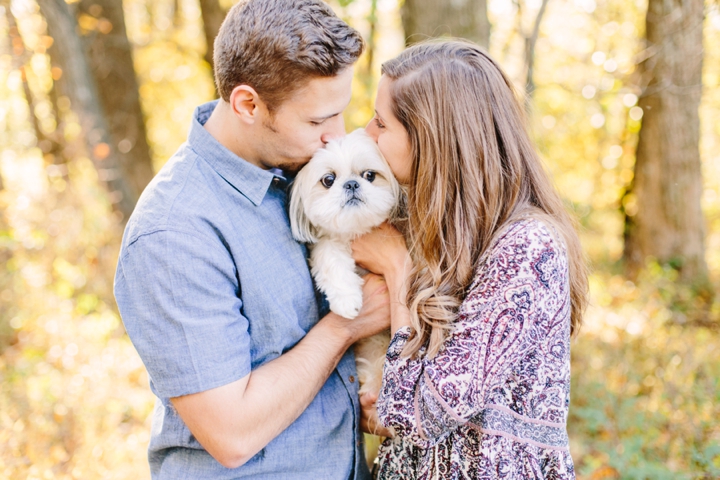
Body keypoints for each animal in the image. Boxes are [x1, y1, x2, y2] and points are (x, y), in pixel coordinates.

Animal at [288, 128, 400, 398]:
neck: (356, 230)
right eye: (328, 180)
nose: (351, 184)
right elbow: (330, 258)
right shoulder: (327, 242)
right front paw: (348, 300)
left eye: (369, 175)